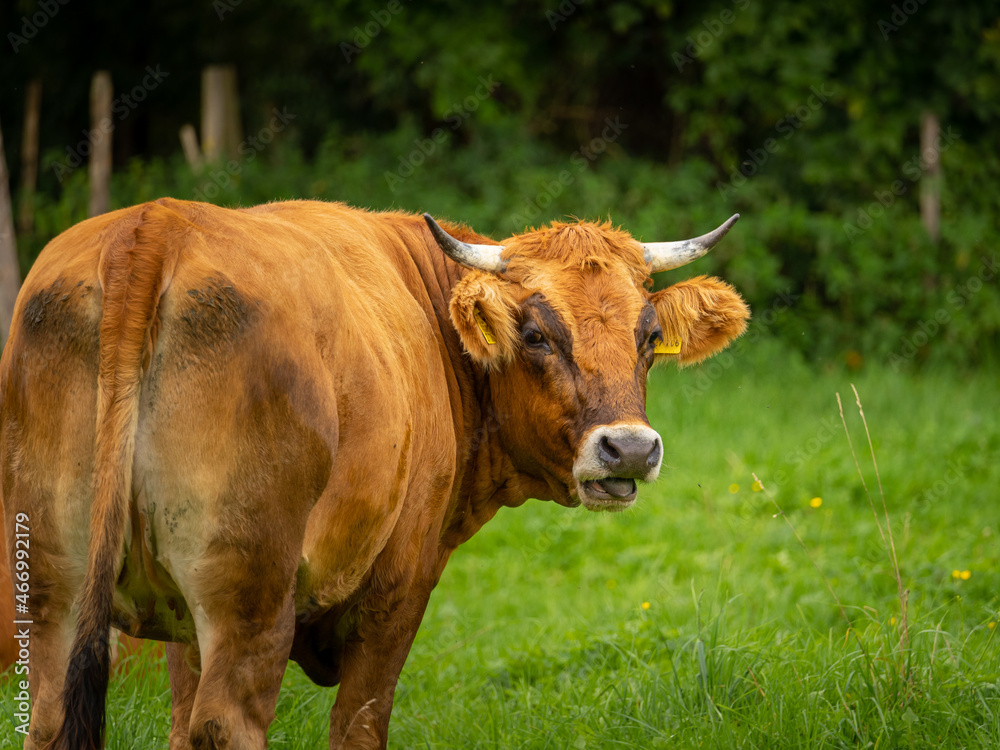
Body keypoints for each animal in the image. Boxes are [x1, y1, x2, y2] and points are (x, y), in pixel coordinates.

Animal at [1, 197, 752, 748]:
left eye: (649, 336)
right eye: (536, 334)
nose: (629, 448)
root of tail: (153, 225)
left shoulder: (181, 626)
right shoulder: (400, 583)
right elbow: (360, 725)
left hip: (57, 586)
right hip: (248, 595)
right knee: (228, 723)